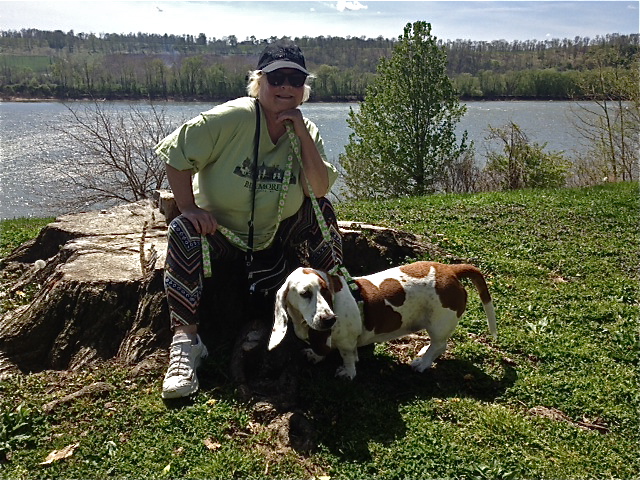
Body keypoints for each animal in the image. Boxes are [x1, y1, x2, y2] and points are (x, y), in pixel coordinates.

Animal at [268, 261, 497, 380]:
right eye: (305, 294)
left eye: (325, 291)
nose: (330, 319)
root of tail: (451, 270)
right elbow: (321, 349)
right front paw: (316, 355)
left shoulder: (347, 343)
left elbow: (348, 357)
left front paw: (347, 373)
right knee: (435, 345)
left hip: (439, 324)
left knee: (440, 345)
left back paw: (422, 363)